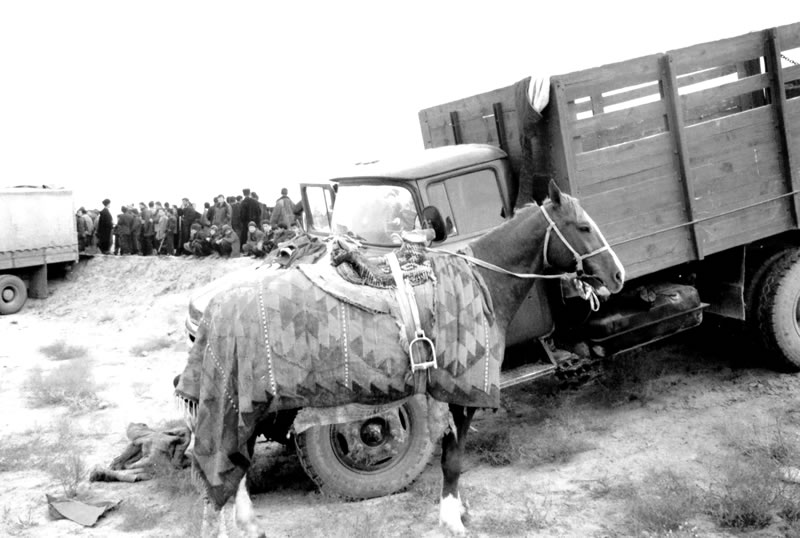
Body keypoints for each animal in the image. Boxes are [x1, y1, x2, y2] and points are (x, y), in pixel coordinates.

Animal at [178, 179, 620, 532]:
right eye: (583, 227)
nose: (616, 274)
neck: (481, 280)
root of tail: (211, 311)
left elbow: (451, 458)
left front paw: (459, 511)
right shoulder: (460, 393)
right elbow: (452, 460)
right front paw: (452, 520)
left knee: (236, 468)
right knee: (227, 469)